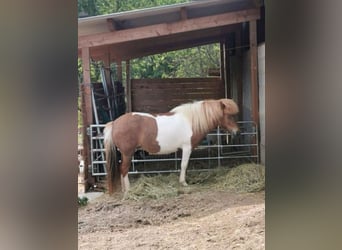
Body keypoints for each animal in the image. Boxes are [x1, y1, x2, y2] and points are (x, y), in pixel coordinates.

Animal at [103, 98, 239, 194]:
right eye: (229, 115)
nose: (237, 132)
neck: (191, 121)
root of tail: (115, 123)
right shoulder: (187, 148)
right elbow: (184, 165)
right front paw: (183, 182)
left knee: (121, 168)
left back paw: (123, 189)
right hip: (127, 153)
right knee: (124, 169)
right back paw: (128, 190)